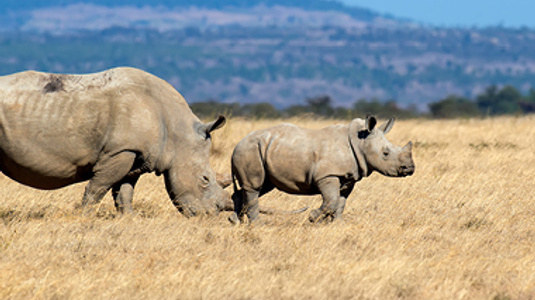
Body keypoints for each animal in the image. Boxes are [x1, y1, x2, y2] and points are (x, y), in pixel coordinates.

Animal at [1, 67, 233, 217]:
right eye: (204, 179)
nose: (210, 216)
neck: (178, 133)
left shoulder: (137, 154)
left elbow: (124, 191)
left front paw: (129, 219)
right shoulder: (119, 151)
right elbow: (98, 187)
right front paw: (84, 218)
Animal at [229, 115, 414, 225]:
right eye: (385, 153)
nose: (410, 168)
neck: (361, 142)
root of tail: (237, 145)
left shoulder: (349, 177)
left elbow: (340, 202)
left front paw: (337, 224)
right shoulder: (327, 175)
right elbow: (331, 200)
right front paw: (313, 217)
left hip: (261, 150)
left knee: (260, 186)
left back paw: (235, 221)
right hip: (250, 150)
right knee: (254, 186)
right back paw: (257, 225)